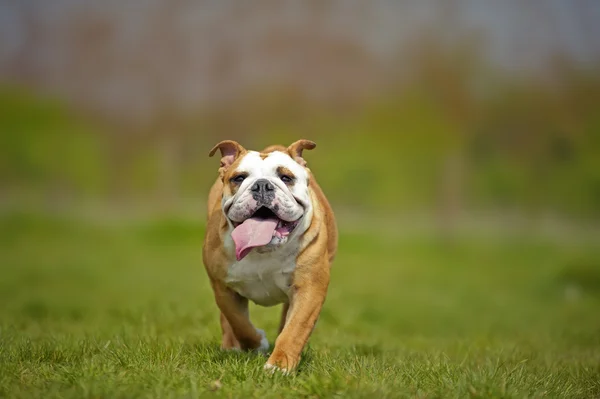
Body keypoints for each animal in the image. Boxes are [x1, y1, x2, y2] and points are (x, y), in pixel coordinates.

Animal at [203, 139, 338, 374]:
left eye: (286, 177)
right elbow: (238, 322)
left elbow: (295, 329)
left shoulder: (310, 288)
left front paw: (279, 365)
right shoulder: (222, 287)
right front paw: (257, 344)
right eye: (239, 178)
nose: (262, 185)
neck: (263, 250)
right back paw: (230, 346)